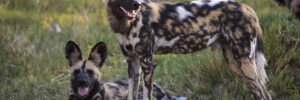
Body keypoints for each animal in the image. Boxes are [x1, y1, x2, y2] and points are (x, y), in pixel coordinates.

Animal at [104, 0, 274, 99]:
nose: (137, 5)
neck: (125, 24)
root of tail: (248, 8)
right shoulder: (133, 63)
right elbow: (131, 94)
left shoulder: (148, 63)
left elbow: (146, 95)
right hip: (235, 63)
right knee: (259, 93)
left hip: (245, 62)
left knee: (264, 93)